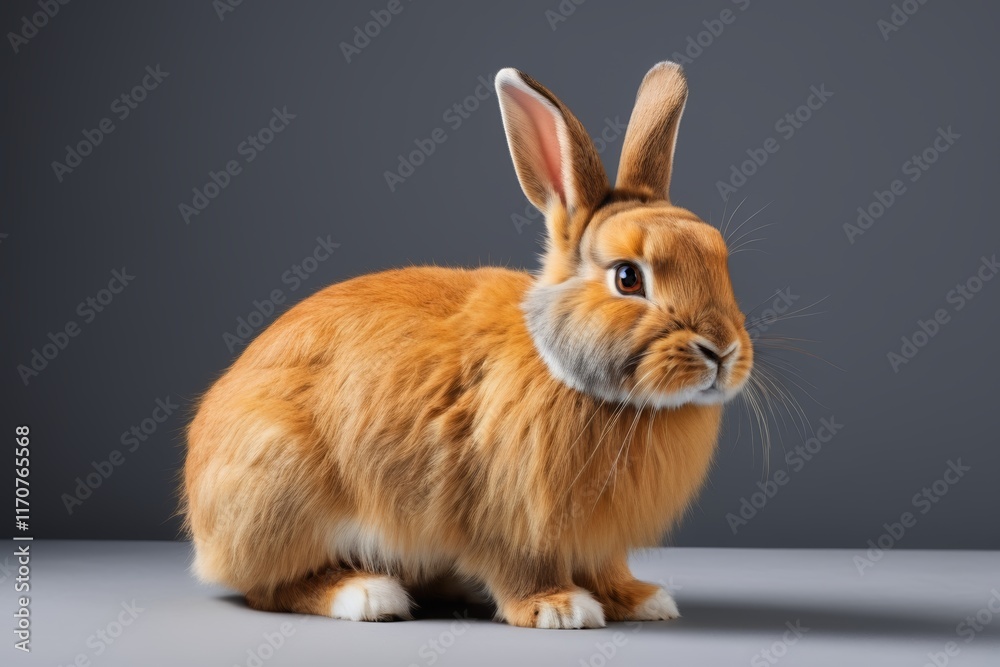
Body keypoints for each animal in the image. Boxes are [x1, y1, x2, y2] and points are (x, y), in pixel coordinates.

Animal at [183, 61, 753, 629]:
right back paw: (367, 594)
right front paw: (558, 608)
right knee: (270, 587)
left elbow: (607, 568)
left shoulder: (597, 541)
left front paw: (642, 600)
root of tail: (202, 524)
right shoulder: (506, 516)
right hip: (281, 488)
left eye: (720, 260)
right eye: (628, 278)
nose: (722, 350)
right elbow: (520, 567)